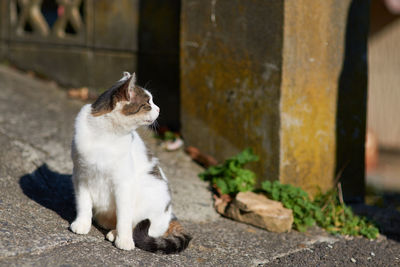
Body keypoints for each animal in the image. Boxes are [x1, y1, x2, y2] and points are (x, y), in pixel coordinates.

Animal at [69, 72, 192, 254]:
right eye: (147, 103)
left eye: (152, 102)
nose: (159, 109)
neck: (106, 136)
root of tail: (170, 214)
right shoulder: (81, 176)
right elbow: (83, 204)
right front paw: (82, 224)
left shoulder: (124, 184)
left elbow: (124, 217)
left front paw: (124, 240)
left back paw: (116, 233)